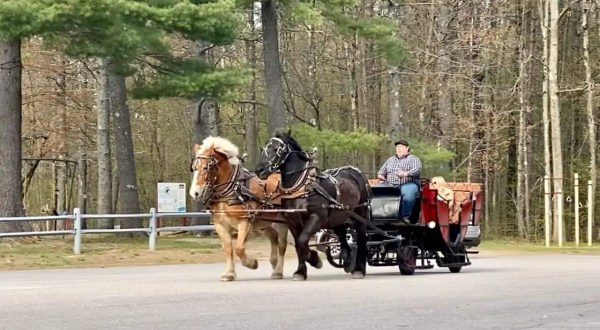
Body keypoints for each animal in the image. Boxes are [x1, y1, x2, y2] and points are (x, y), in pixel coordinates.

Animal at [189, 136, 290, 282]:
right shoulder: (220, 225)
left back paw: (278, 271)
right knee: (273, 236)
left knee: (282, 244)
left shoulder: (244, 223)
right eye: (194, 168)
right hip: (263, 222)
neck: (231, 191)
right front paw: (229, 273)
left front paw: (252, 263)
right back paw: (274, 261)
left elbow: (239, 248)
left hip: (282, 222)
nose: (195, 193)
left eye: (206, 167)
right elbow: (228, 249)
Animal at [253, 131, 370, 282]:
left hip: (360, 215)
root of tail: (358, 173)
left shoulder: (316, 218)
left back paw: (359, 269)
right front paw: (301, 271)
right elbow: (298, 245)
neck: (302, 187)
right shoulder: (292, 222)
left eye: (276, 149)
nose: (259, 170)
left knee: (361, 240)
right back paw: (348, 261)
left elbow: (302, 241)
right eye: (264, 148)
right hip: (338, 218)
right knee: (344, 239)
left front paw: (314, 259)